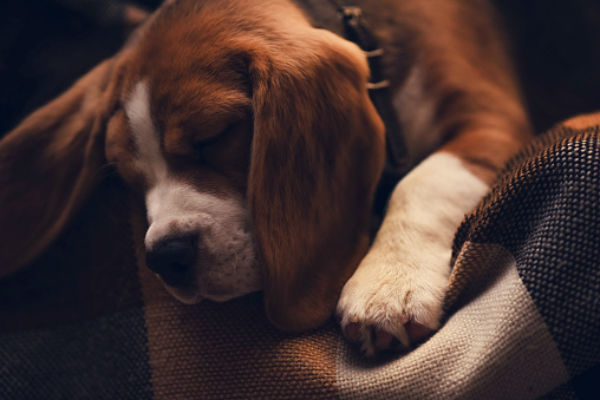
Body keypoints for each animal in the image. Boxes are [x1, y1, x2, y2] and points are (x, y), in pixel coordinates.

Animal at [0, 0, 532, 356]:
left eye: (213, 136)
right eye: (129, 177)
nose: (166, 258)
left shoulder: (489, 114)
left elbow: (423, 181)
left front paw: (389, 283)